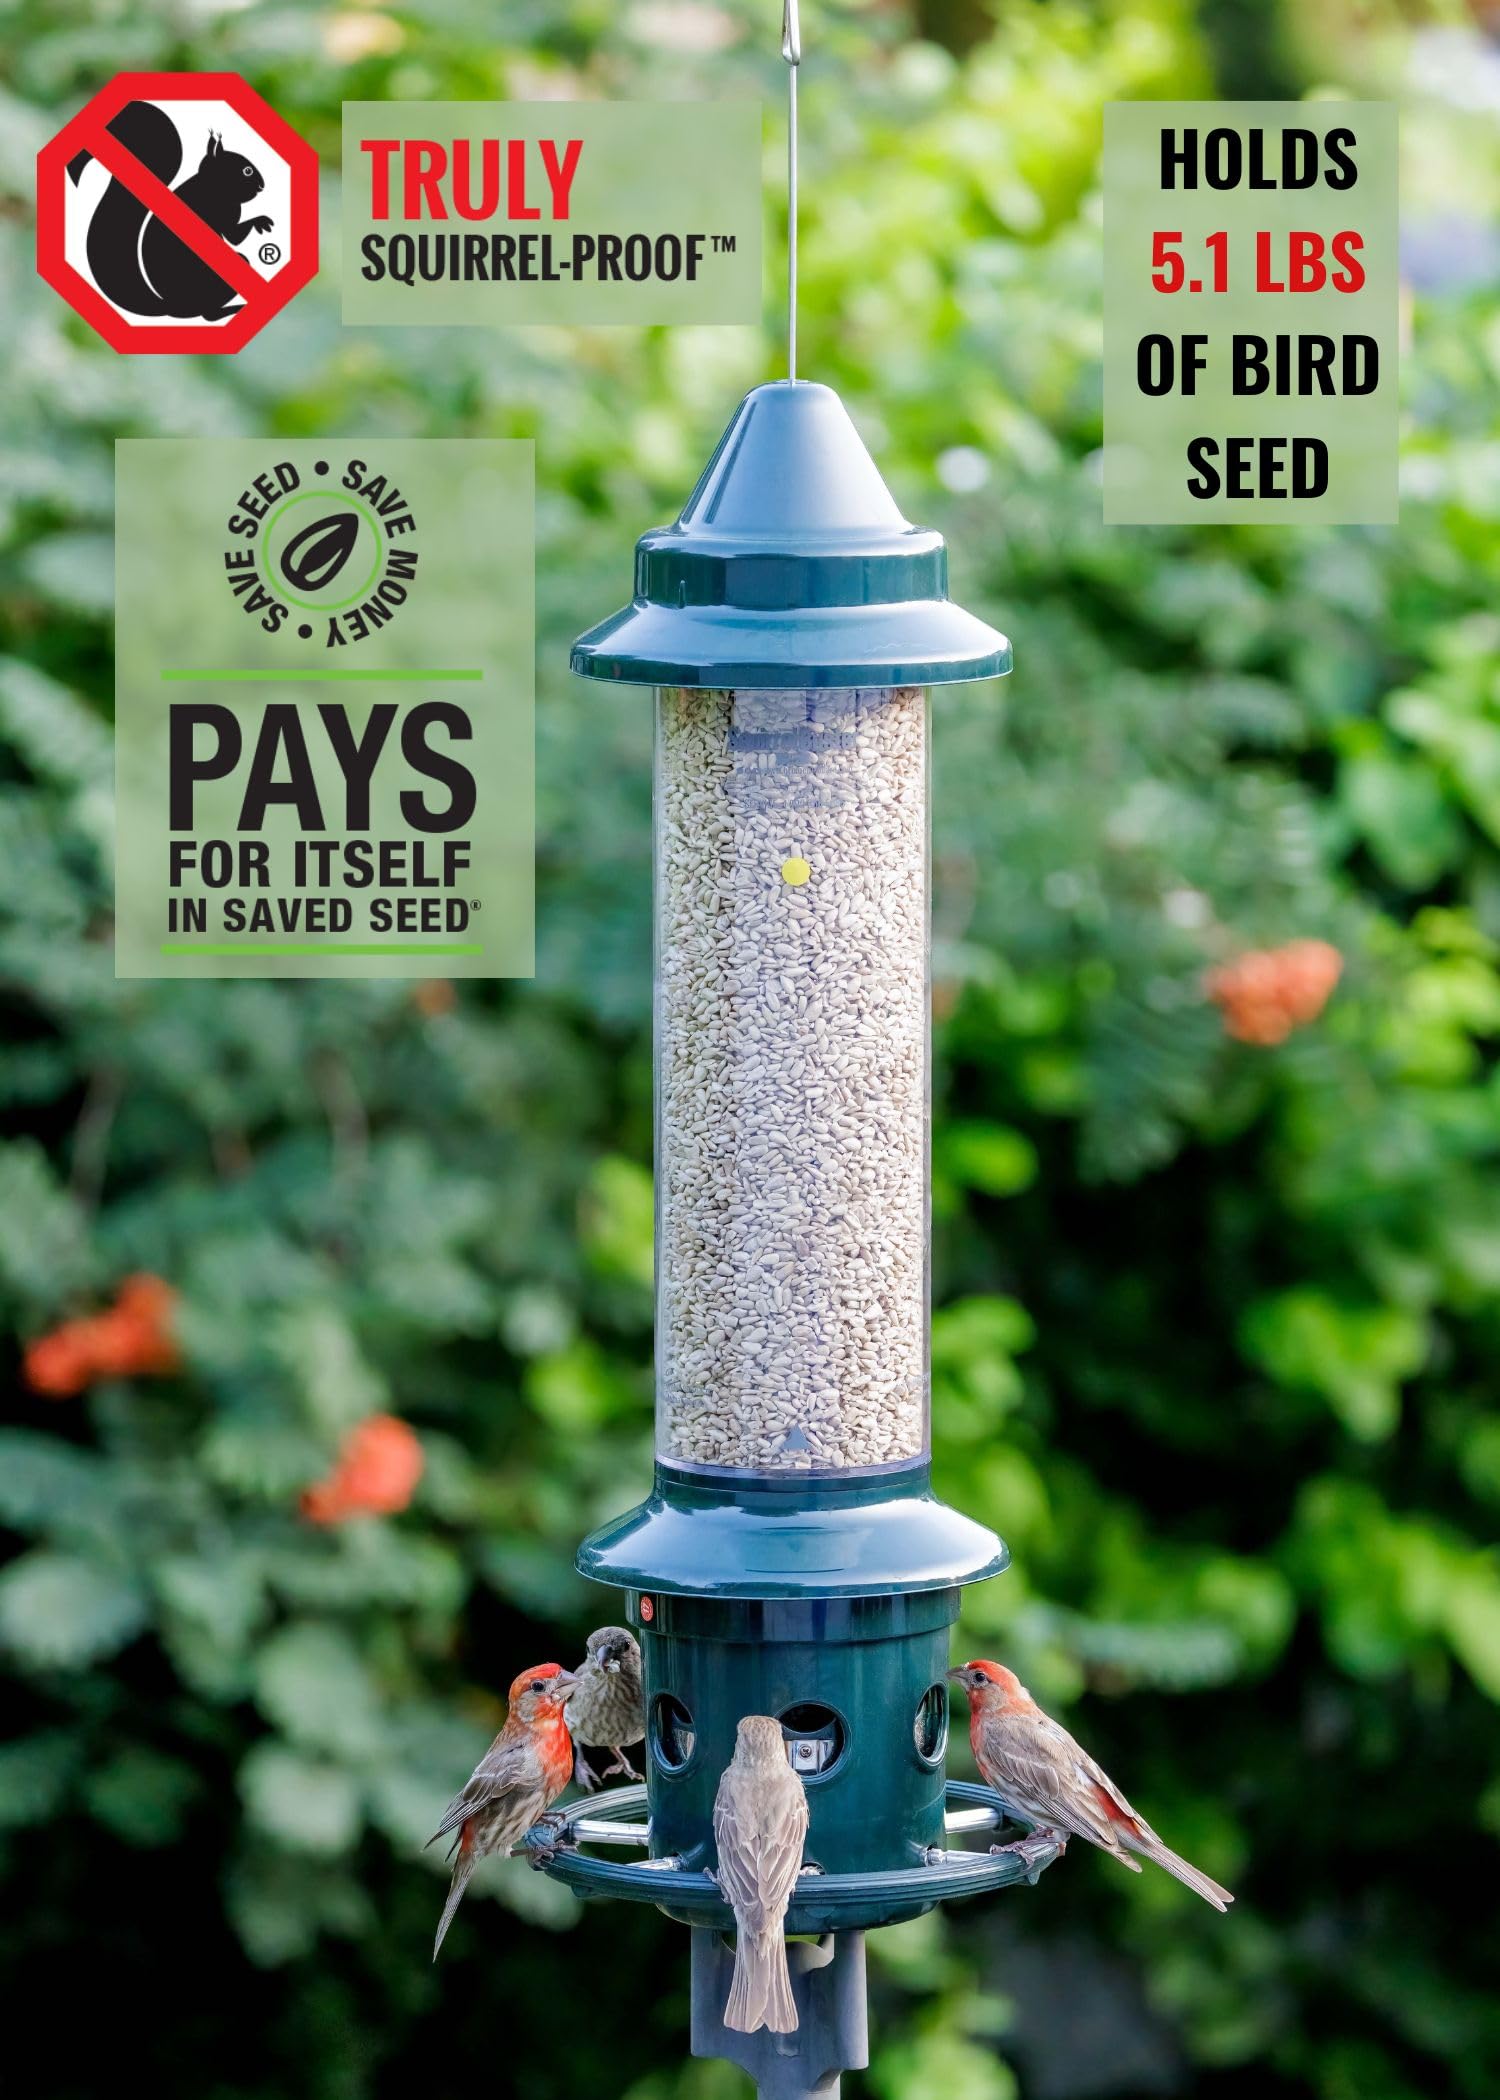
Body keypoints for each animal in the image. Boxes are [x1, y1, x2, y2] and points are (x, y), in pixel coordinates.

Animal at [66, 100, 275, 323]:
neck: (212, 185)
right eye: (247, 170)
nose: (262, 185)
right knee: (209, 315)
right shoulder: (224, 210)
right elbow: (234, 236)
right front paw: (261, 221)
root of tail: (172, 306)